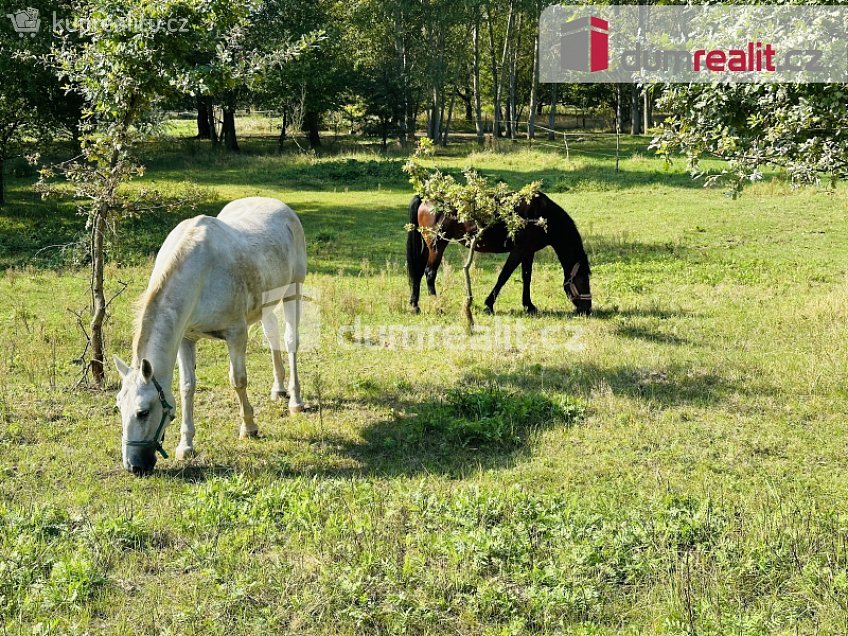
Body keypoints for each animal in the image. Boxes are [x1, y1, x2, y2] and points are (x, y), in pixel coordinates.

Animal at [113, 196, 308, 474]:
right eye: (119, 406)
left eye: (143, 412)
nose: (133, 466)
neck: (201, 275)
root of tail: (282, 207)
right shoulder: (186, 339)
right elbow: (187, 387)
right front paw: (185, 446)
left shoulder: (236, 334)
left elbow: (238, 380)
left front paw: (249, 427)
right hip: (267, 303)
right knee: (272, 337)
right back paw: (278, 389)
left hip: (293, 291)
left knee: (291, 341)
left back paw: (295, 401)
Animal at [408, 191, 592, 316]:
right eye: (583, 280)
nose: (588, 308)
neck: (543, 215)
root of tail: (425, 198)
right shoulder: (519, 251)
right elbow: (504, 276)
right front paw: (488, 305)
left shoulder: (528, 252)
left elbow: (527, 277)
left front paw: (529, 306)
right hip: (437, 246)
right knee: (430, 273)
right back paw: (438, 307)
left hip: (427, 247)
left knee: (417, 272)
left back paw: (415, 306)